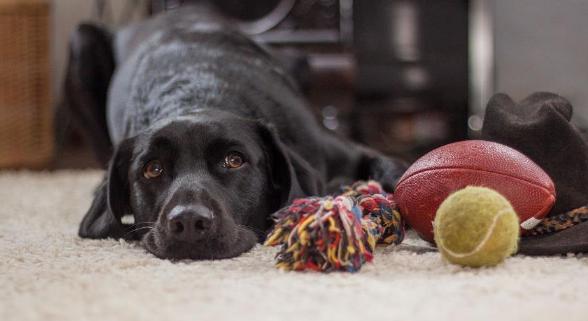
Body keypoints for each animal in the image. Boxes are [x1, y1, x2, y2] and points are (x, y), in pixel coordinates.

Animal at [63, 6, 404, 260]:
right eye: (153, 169)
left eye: (234, 160)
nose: (188, 221)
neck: (196, 95)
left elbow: (395, 172)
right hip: (80, 41)